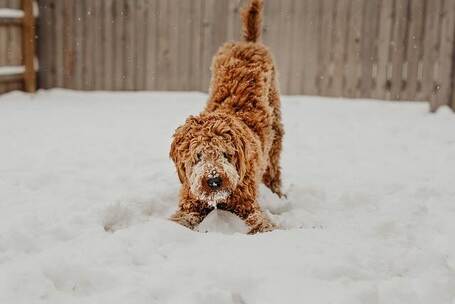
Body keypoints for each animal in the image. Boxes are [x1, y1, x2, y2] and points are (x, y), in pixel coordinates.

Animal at [170, 0, 284, 234]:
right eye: (198, 155)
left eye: (225, 153)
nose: (214, 180)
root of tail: (248, 42)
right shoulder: (190, 200)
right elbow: (181, 218)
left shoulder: (247, 204)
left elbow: (260, 222)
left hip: (276, 131)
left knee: (274, 167)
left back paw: (277, 192)